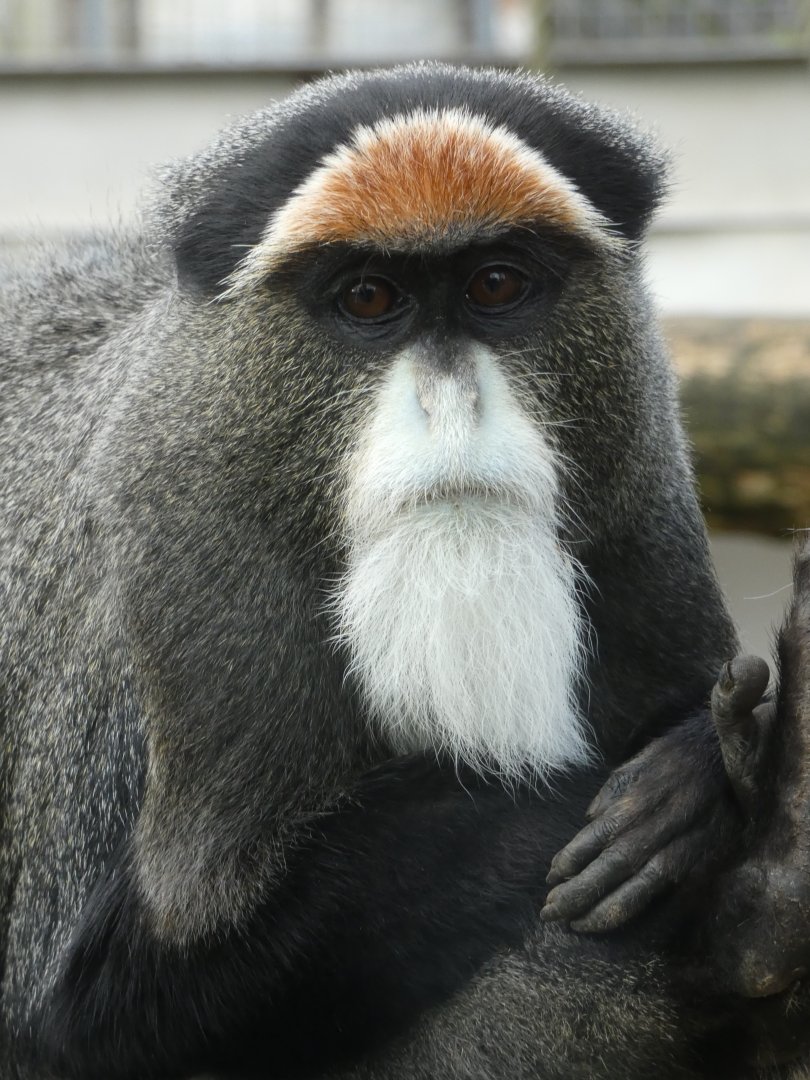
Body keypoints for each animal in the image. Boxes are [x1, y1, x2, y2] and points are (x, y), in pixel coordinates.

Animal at [1, 62, 807, 1079]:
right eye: (370, 300)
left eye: (496, 283)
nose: (451, 403)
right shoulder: (198, 597)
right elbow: (97, 1019)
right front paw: (659, 798)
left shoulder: (644, 517)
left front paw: (699, 783)